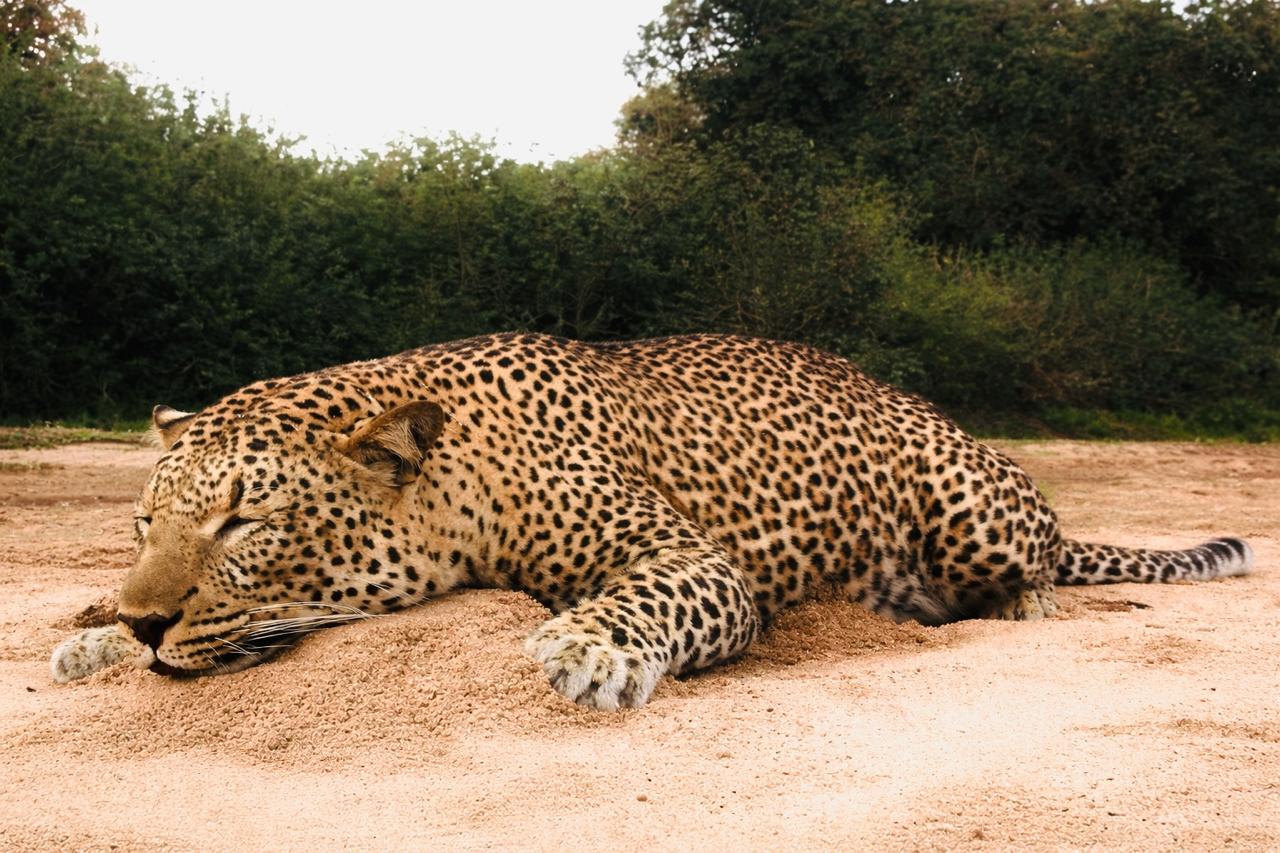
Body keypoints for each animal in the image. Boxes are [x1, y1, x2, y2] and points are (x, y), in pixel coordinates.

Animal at [49, 333, 1254, 709]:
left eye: (241, 524)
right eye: (144, 523)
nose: (150, 622)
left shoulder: (684, 554)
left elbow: (649, 595)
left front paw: (588, 649)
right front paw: (96, 632)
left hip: (971, 507)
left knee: (1035, 557)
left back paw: (1027, 606)